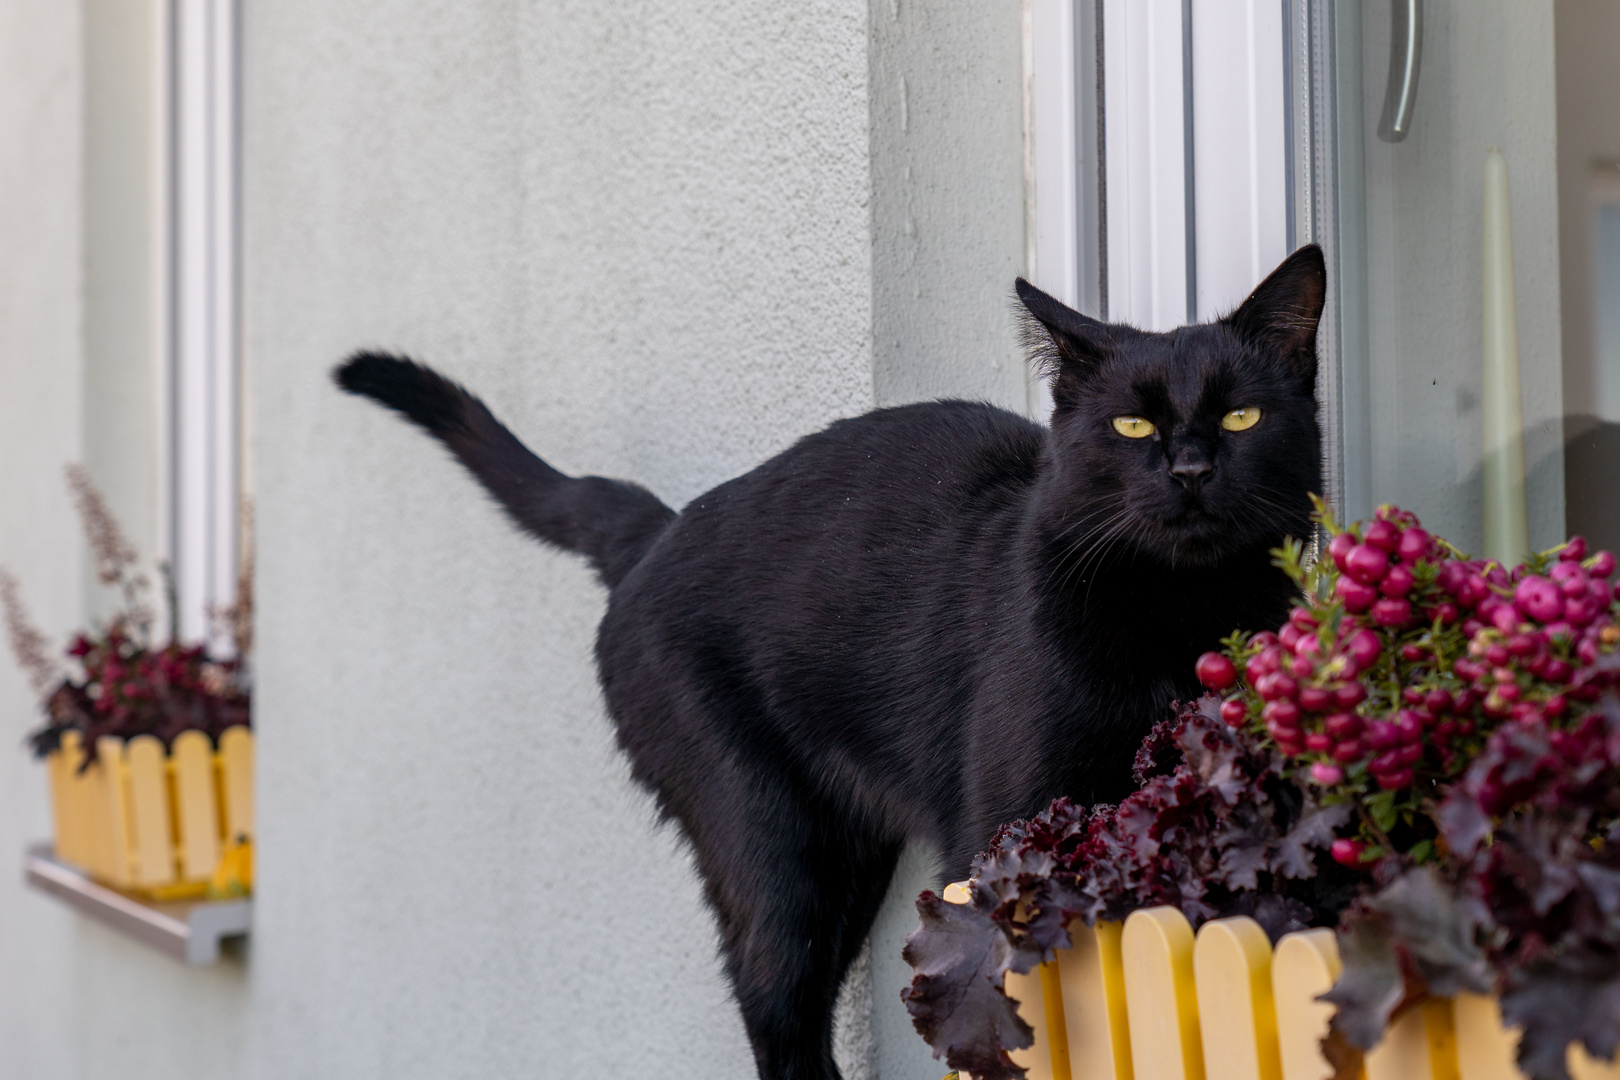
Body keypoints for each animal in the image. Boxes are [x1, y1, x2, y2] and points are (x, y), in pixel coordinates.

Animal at [335, 244, 1321, 1080]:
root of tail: (659, 533)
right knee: (776, 1012)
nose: (1189, 467)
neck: (1176, 618)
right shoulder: (1005, 828)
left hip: (848, 857)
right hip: (768, 842)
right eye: (1131, 425)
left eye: (1242, 414)